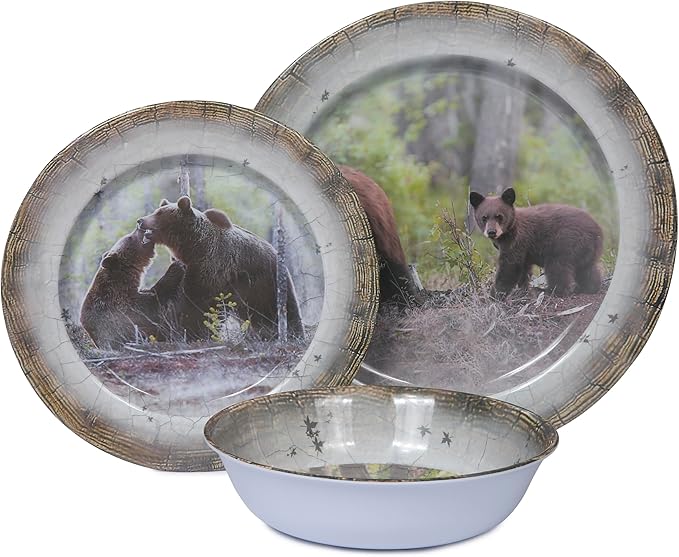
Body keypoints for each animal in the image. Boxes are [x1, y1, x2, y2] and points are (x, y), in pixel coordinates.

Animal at [136, 196, 304, 340]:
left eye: (159, 213)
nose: (140, 220)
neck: (192, 246)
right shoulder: (188, 264)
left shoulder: (213, 265)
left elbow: (198, 303)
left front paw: (189, 331)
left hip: (266, 284)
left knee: (279, 309)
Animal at [469, 187, 603, 297]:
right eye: (484, 217)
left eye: (499, 216)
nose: (491, 232)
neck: (509, 230)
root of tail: (597, 231)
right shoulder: (523, 251)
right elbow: (523, 269)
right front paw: (522, 289)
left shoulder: (517, 241)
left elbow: (510, 266)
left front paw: (495, 294)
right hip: (586, 250)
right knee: (587, 269)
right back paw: (590, 287)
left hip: (565, 243)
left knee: (557, 268)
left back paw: (549, 290)